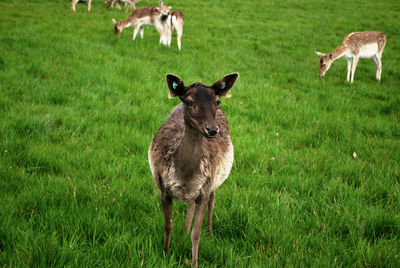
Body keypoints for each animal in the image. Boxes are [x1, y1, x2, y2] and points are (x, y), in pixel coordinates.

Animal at [148, 73, 239, 268]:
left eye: (217, 101)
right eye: (189, 102)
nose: (212, 129)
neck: (184, 176)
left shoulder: (204, 189)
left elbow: (196, 234)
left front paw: (195, 263)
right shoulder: (163, 189)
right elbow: (168, 225)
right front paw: (165, 254)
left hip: (215, 179)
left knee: (213, 197)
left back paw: (210, 233)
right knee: (190, 204)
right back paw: (184, 230)